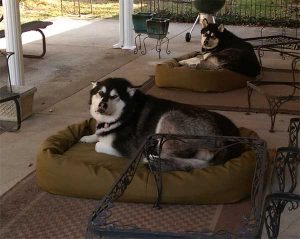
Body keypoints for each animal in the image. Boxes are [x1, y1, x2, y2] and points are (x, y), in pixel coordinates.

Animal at [79, 77, 241, 171]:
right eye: (100, 93)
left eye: (114, 96)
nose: (102, 105)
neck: (125, 113)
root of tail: (220, 139)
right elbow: (97, 134)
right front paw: (88, 137)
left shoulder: (126, 149)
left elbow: (98, 145)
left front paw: (97, 141)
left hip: (169, 118)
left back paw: (152, 158)